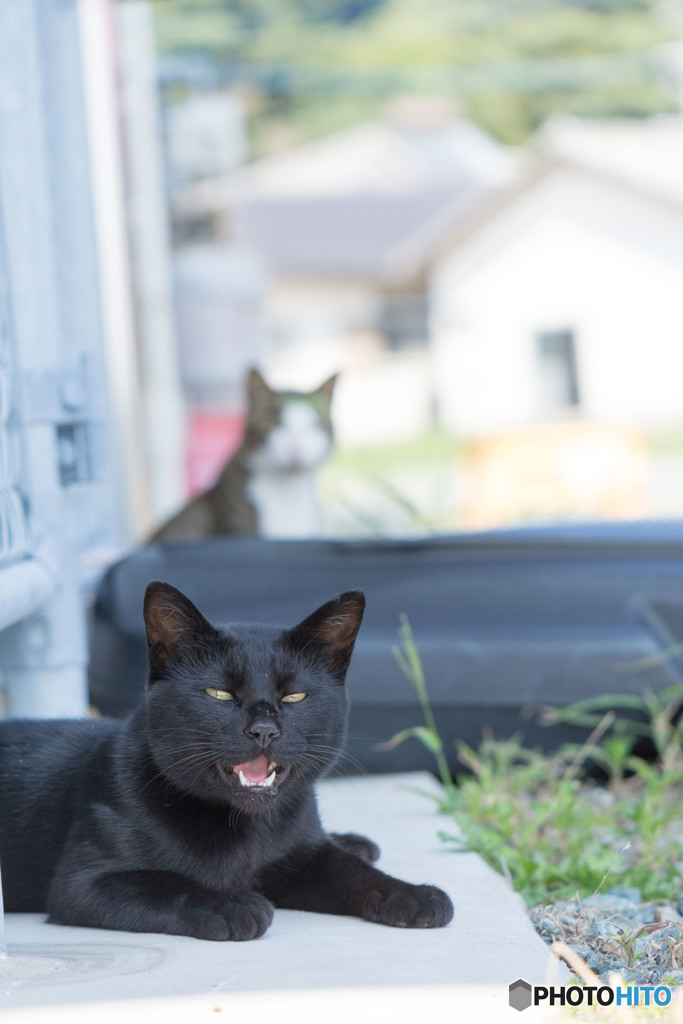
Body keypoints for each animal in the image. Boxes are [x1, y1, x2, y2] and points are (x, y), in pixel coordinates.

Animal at [0, 581, 454, 937]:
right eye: (218, 694)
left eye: (295, 696)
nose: (264, 730)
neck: (247, 832)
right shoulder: (85, 882)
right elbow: (164, 884)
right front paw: (232, 905)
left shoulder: (303, 860)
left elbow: (351, 872)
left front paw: (414, 895)